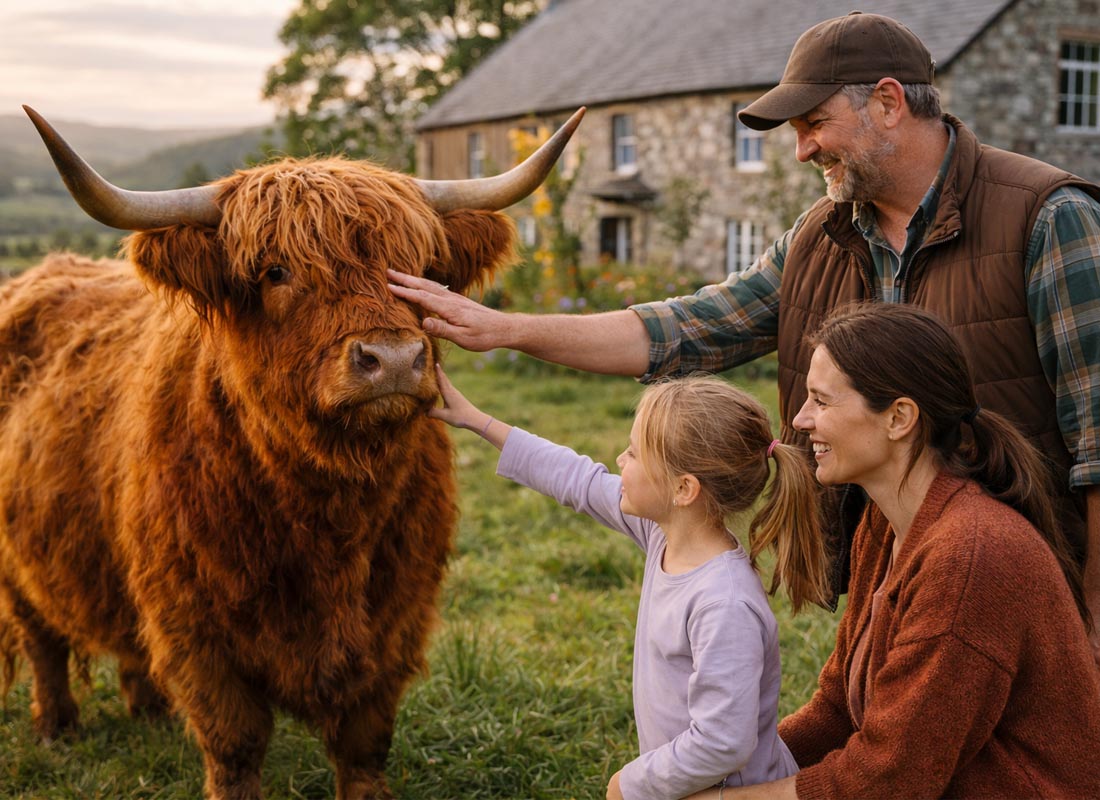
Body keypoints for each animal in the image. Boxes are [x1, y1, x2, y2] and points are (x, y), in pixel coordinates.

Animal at [0, 105, 583, 800]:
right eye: (276, 271)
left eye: (419, 266)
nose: (393, 359)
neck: (328, 517)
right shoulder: (197, 632)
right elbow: (235, 746)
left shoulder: (395, 620)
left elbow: (364, 744)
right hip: (18, 563)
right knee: (41, 641)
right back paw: (55, 728)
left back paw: (149, 711)